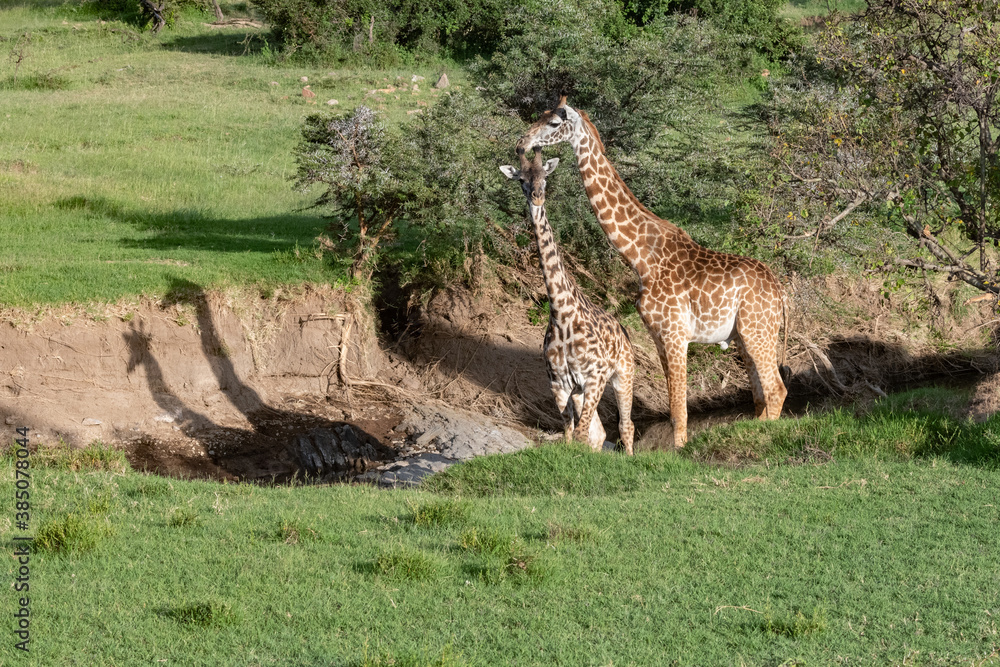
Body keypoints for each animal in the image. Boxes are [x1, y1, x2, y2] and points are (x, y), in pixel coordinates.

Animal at [498, 148, 632, 454]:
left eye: (545, 176)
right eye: (521, 179)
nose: (537, 196)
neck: (562, 314)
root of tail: (624, 331)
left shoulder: (595, 377)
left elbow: (581, 434)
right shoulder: (559, 384)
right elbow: (570, 433)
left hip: (623, 375)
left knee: (626, 426)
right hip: (582, 390)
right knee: (599, 431)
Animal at [516, 96, 788, 446]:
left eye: (553, 123)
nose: (522, 144)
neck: (641, 258)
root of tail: (780, 292)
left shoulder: (675, 333)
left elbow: (679, 410)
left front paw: (681, 451)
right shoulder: (660, 336)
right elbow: (674, 409)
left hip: (757, 332)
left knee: (776, 390)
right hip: (745, 335)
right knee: (760, 397)